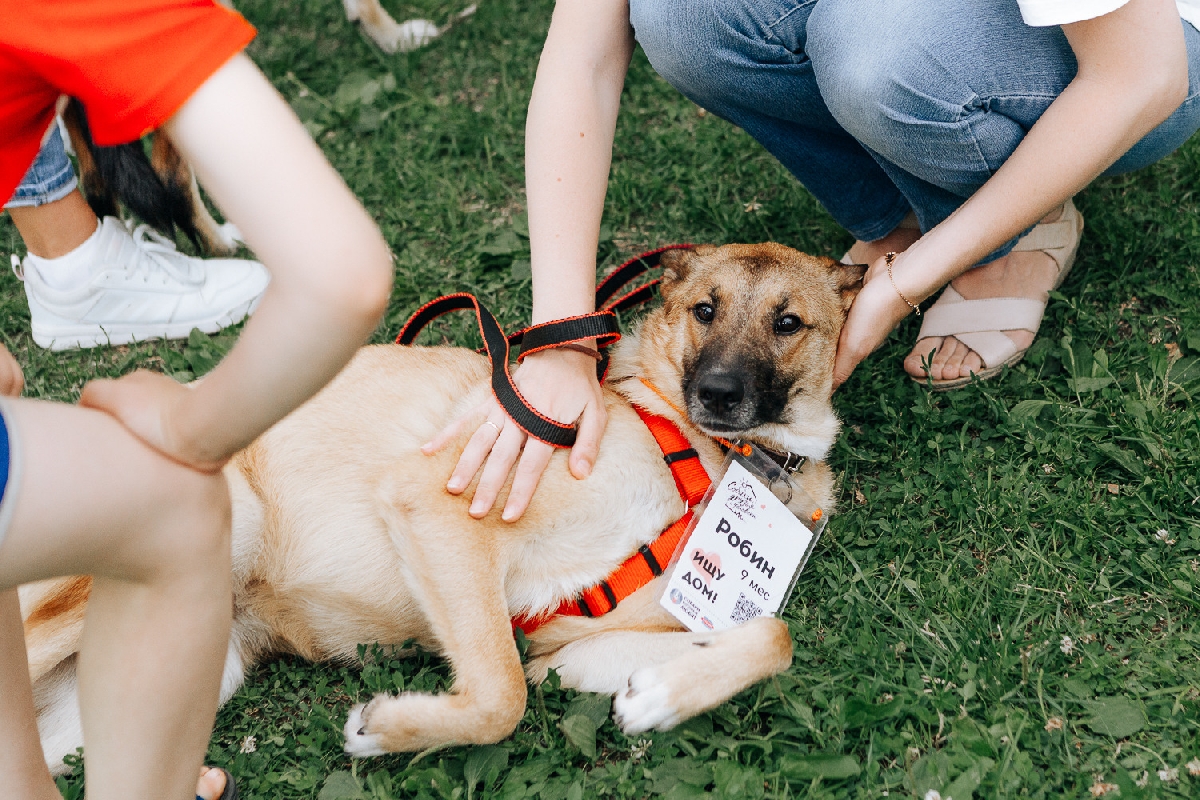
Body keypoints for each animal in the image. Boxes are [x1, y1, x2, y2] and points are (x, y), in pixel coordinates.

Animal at [18, 241, 864, 767]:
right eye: (705, 311)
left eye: (788, 322)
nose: (717, 394)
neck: (711, 453)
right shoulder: (443, 509)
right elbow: (500, 697)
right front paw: (390, 729)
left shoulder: (567, 654)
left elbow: (775, 637)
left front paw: (661, 697)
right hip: (217, 529)